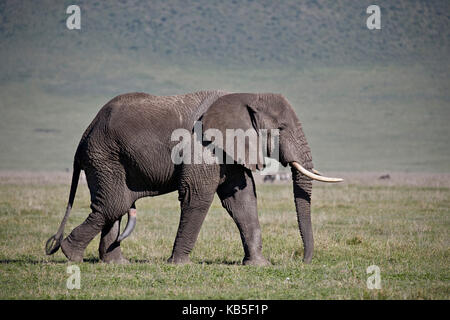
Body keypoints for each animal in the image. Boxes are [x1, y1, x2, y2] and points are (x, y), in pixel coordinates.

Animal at [45, 90, 342, 264]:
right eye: (281, 128)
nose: (303, 262)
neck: (244, 96)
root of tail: (85, 134)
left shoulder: (227, 148)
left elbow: (242, 199)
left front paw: (259, 265)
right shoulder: (202, 143)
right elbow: (197, 195)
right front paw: (179, 265)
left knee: (115, 207)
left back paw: (116, 263)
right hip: (105, 156)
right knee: (112, 205)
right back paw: (71, 255)